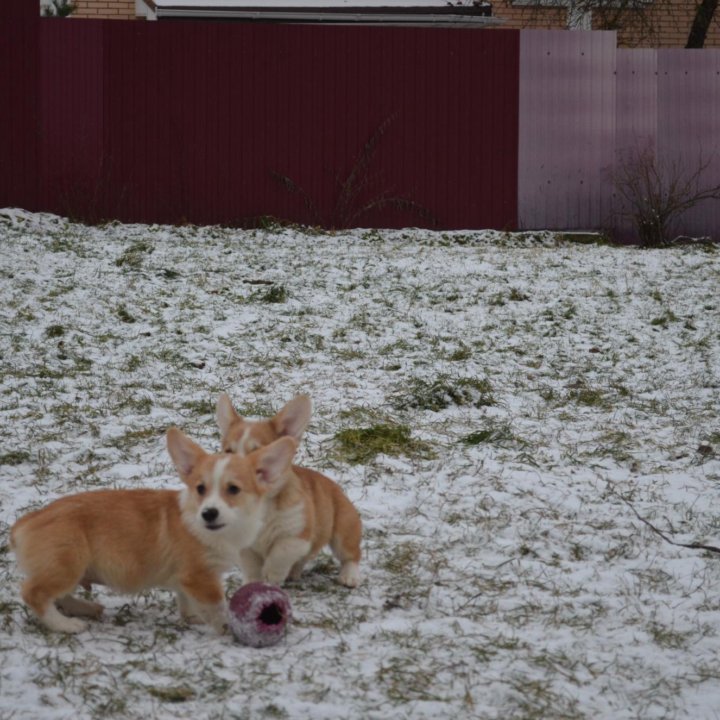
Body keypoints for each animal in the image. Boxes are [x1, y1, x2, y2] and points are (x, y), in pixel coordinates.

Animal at [9, 424, 296, 632]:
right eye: (200, 489)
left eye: (233, 489)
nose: (208, 513)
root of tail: (27, 521)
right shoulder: (200, 576)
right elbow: (216, 606)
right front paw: (226, 627)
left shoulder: (185, 579)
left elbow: (187, 602)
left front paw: (194, 619)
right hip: (68, 563)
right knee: (34, 593)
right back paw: (66, 625)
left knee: (59, 596)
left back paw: (86, 609)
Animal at [214, 394, 360, 592]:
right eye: (228, 451)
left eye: (257, 452)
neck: (261, 504)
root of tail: (336, 486)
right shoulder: (244, 544)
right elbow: (251, 566)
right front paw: (252, 583)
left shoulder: (297, 535)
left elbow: (280, 552)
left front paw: (271, 575)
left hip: (344, 531)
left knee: (351, 555)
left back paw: (349, 576)